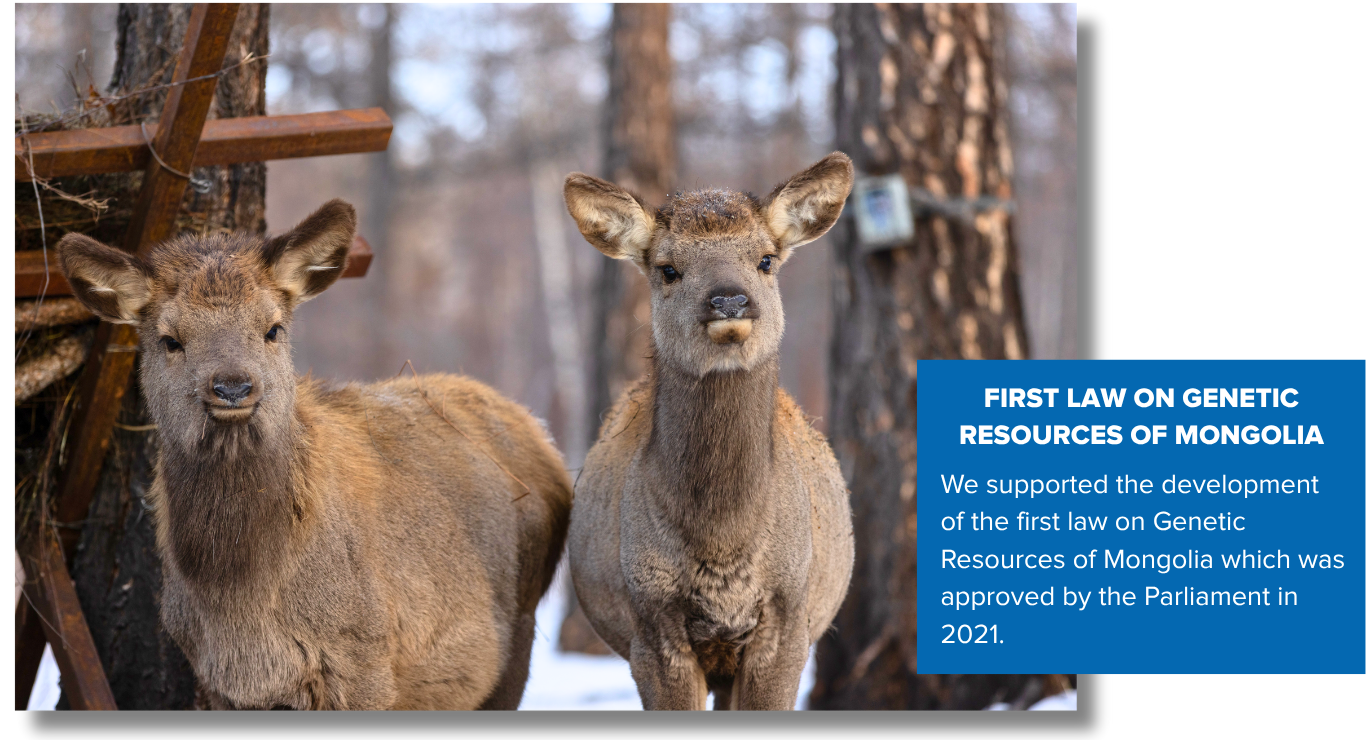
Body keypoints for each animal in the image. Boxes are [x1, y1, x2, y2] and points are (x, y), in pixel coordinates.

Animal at [56, 200, 572, 710]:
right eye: (170, 340)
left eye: (272, 329)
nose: (232, 386)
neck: (237, 602)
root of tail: (539, 432)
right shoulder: (222, 683)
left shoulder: (365, 657)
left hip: (519, 633)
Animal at [562, 153, 857, 710]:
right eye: (668, 269)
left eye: (765, 259)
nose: (729, 301)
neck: (723, 543)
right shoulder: (651, 624)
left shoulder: (789, 619)